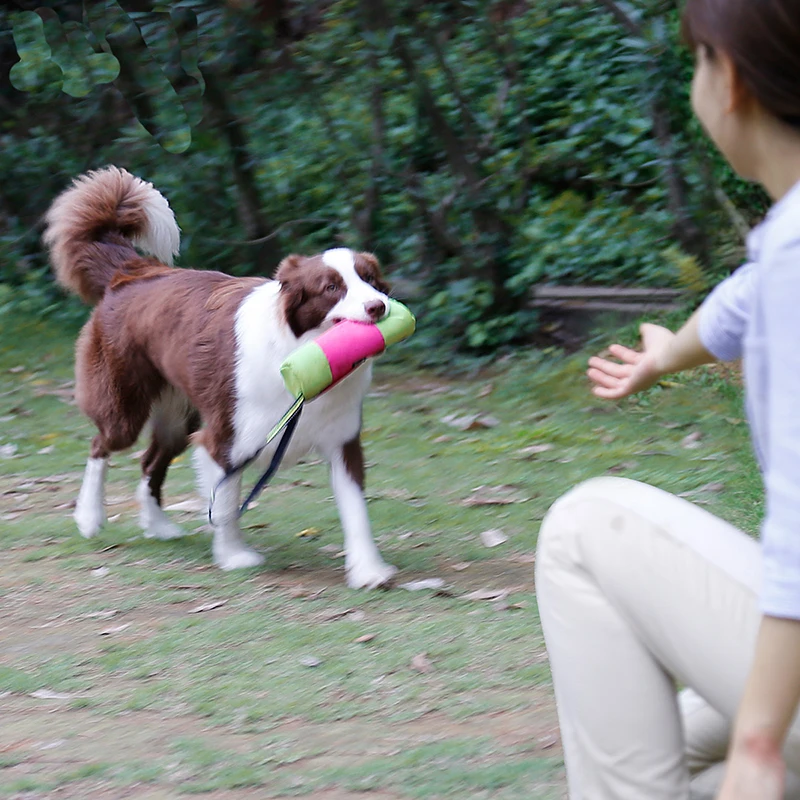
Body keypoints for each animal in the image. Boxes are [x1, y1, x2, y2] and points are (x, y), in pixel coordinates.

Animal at [43, 166, 396, 588]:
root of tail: (133, 272)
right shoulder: (225, 439)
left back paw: (158, 525)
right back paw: (89, 517)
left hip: (182, 415)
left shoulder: (342, 439)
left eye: (371, 280)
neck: (304, 358)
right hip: (125, 404)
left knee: (150, 462)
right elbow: (225, 503)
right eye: (331, 288)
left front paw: (369, 570)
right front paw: (234, 556)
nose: (379, 307)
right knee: (101, 445)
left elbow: (356, 508)